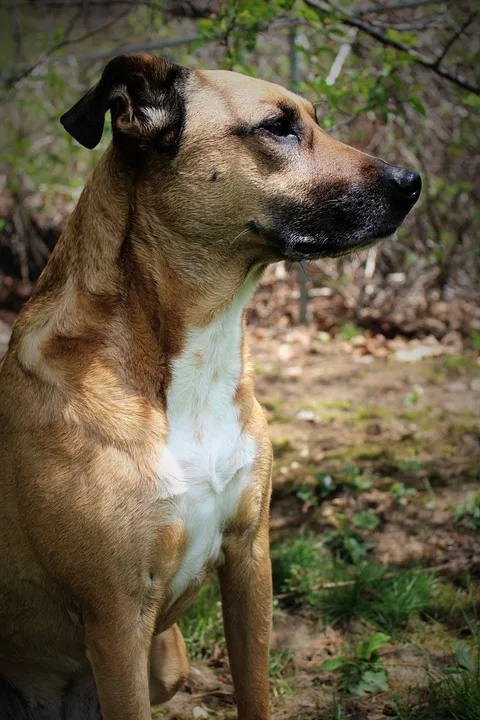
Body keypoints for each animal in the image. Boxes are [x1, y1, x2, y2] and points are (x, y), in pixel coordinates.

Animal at [0, 53, 420, 716]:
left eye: (314, 119)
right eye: (277, 127)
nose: (413, 181)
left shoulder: (250, 559)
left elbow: (254, 690)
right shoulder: (117, 618)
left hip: (169, 659)